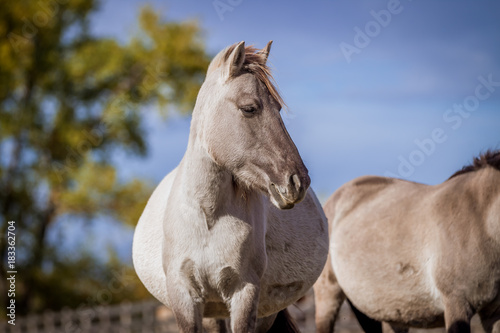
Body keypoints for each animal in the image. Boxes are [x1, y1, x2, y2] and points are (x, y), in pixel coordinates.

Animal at [133, 41, 328, 332]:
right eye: (249, 108)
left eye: (279, 109)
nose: (297, 182)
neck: (208, 217)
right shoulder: (184, 298)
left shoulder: (244, 294)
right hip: (213, 313)